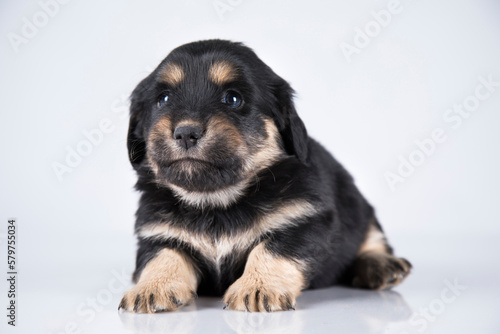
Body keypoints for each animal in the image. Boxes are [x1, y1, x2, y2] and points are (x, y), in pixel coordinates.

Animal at [119, 39, 412, 314]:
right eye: (164, 99)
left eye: (233, 99)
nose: (185, 133)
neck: (215, 202)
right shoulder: (157, 233)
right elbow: (162, 257)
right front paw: (151, 287)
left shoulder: (303, 220)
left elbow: (272, 250)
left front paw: (258, 286)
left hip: (358, 205)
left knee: (372, 238)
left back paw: (382, 265)